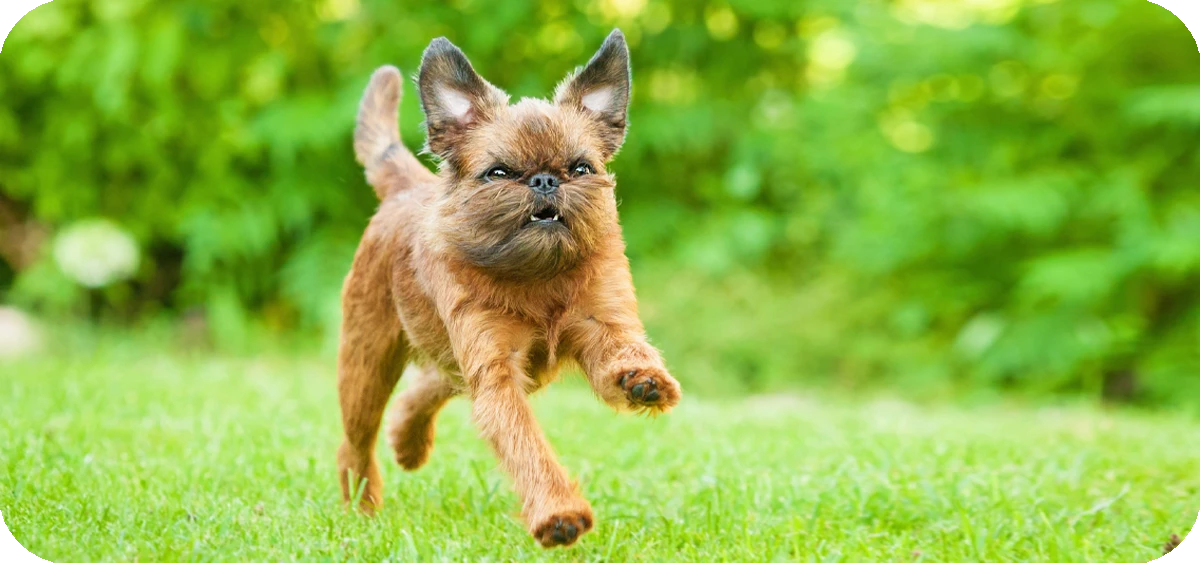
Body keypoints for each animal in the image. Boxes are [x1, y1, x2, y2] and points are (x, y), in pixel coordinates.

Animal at [337, 29, 681, 548]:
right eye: (498, 173)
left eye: (581, 168)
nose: (545, 179)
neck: (539, 278)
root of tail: (407, 188)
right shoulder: (496, 369)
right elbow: (524, 443)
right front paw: (559, 514)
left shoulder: (602, 322)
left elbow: (621, 352)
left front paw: (641, 379)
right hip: (367, 362)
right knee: (356, 441)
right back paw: (360, 506)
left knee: (430, 383)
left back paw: (407, 441)